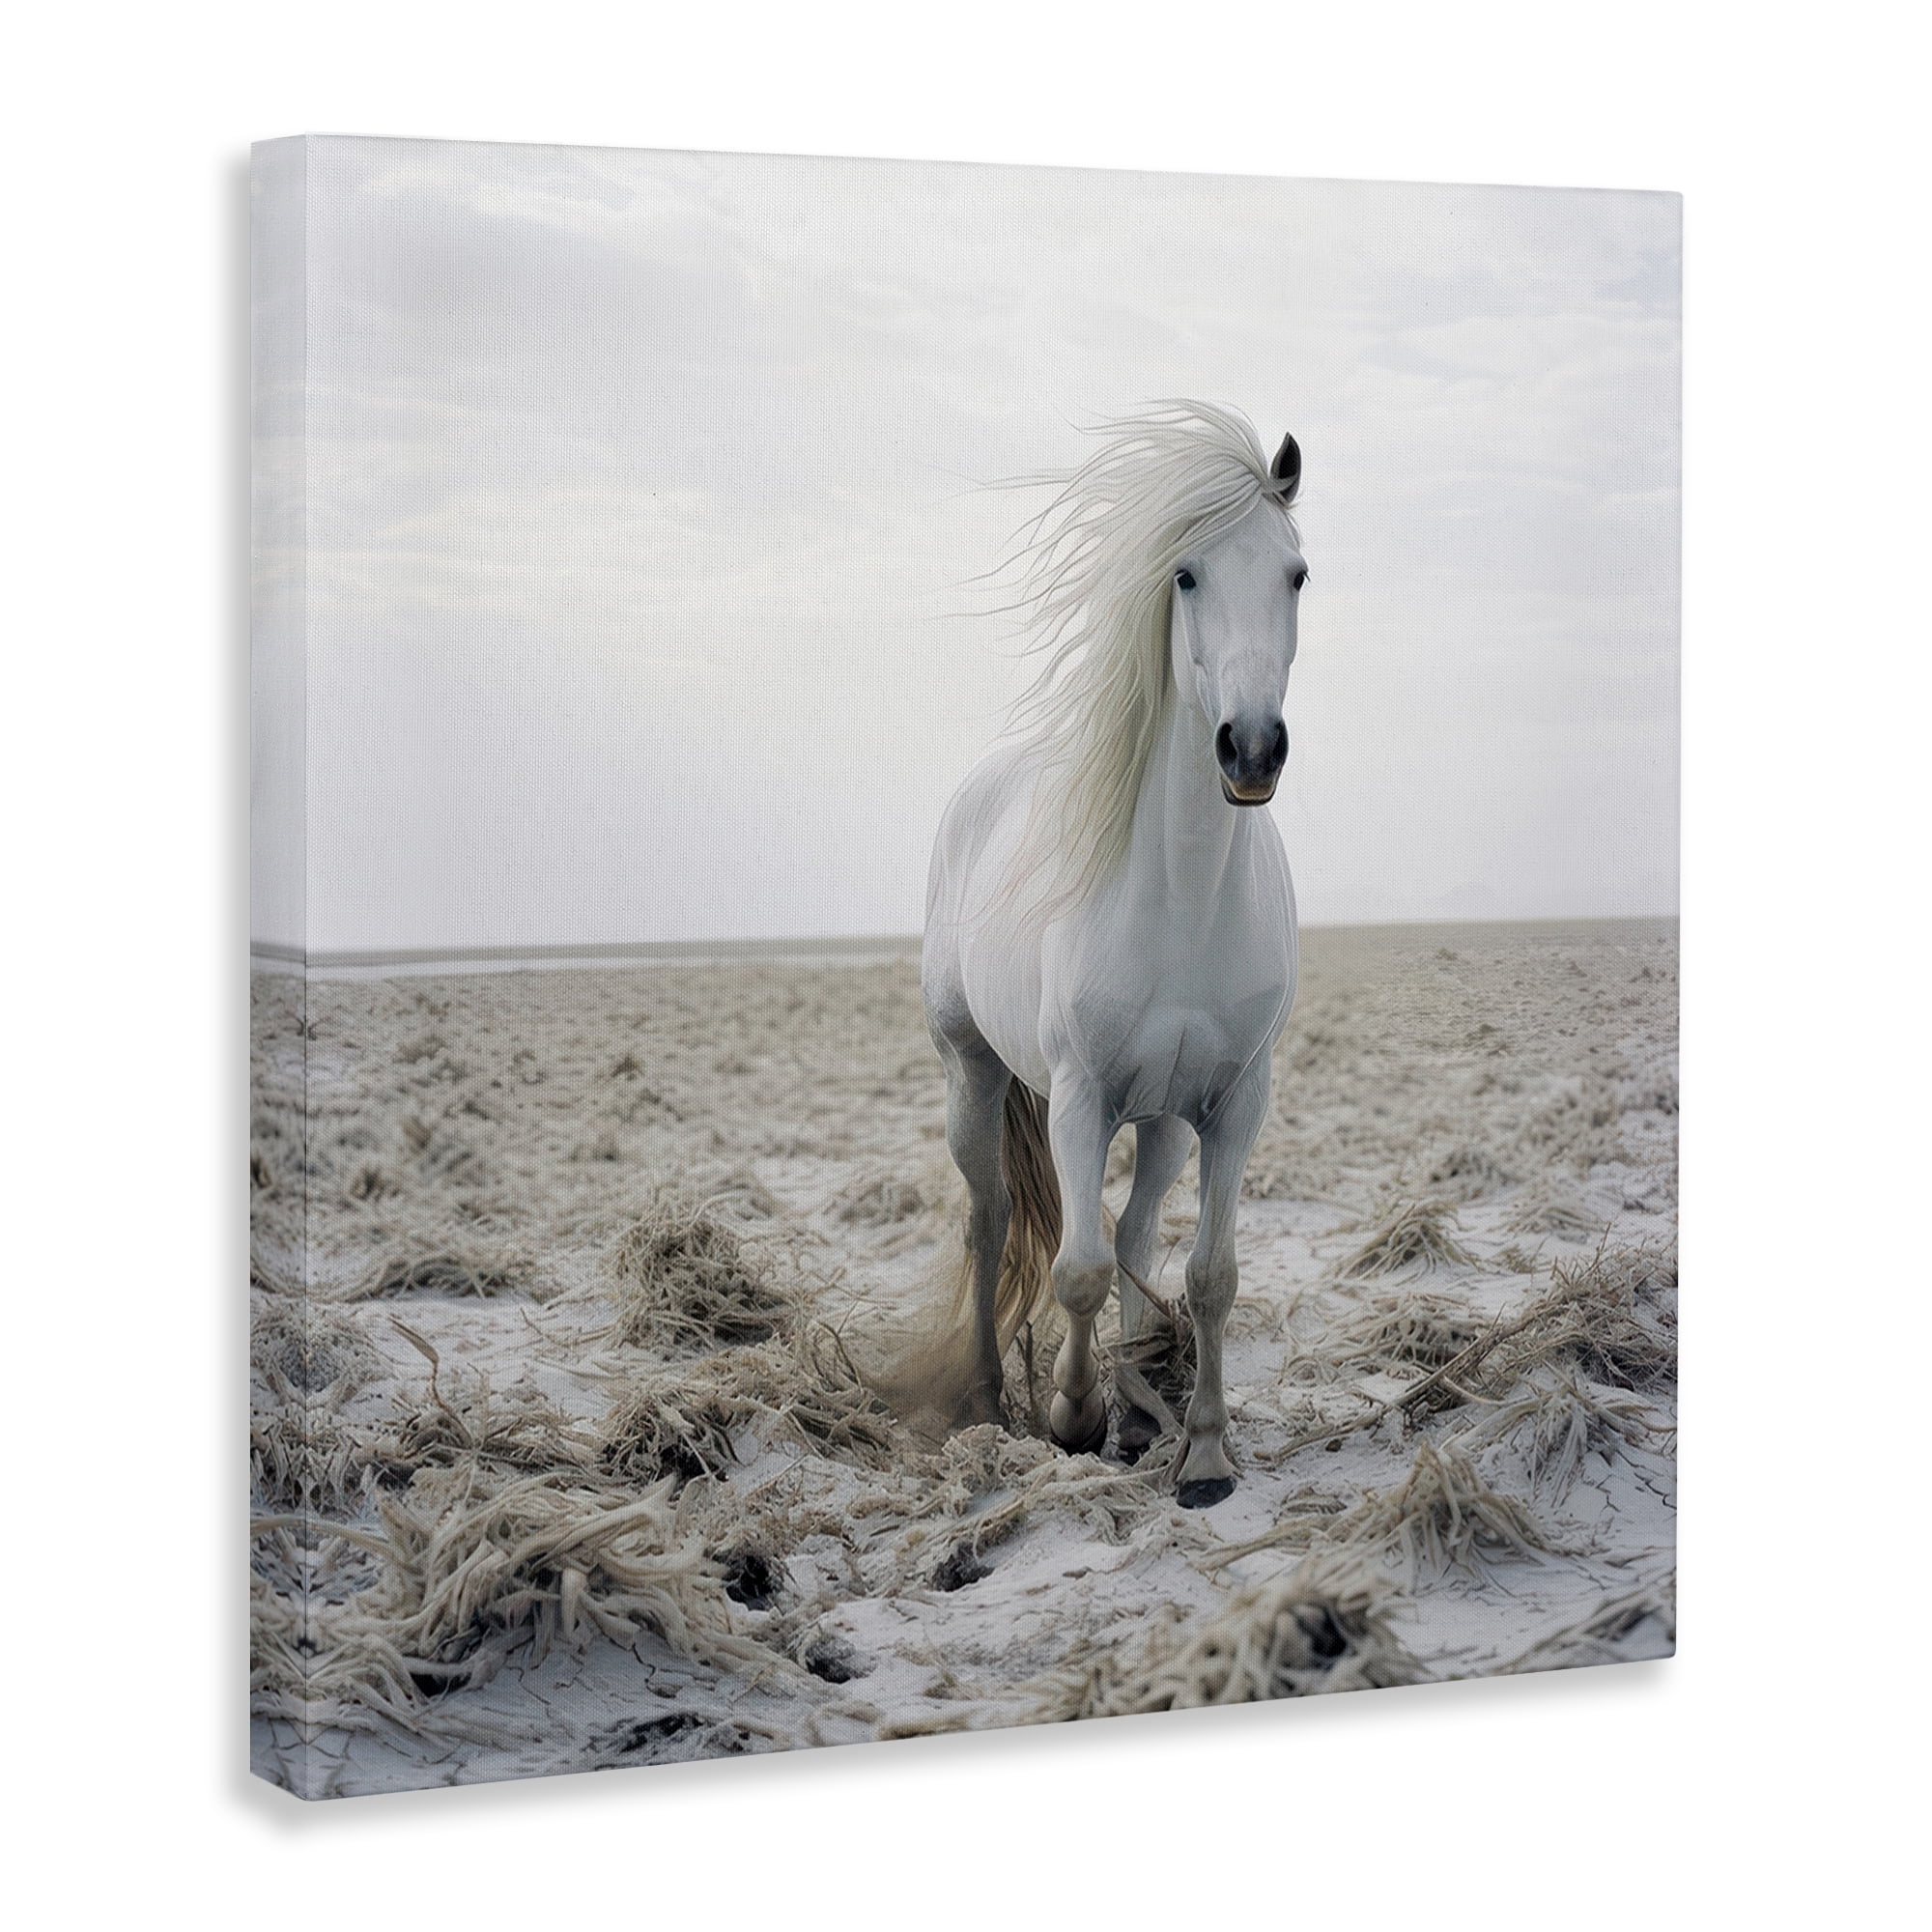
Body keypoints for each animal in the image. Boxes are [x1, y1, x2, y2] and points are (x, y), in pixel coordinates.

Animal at [919, 402, 1306, 1508]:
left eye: (1295, 573)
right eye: (1184, 574)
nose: (1251, 749)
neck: (1181, 897)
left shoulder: (1234, 1101)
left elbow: (1208, 1274)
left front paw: (1202, 1449)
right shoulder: (1082, 1095)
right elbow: (1076, 1267)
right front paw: (1070, 1413)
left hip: (1166, 1117)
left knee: (1132, 1233)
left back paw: (1137, 1410)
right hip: (973, 1074)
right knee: (993, 1224)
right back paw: (990, 1397)